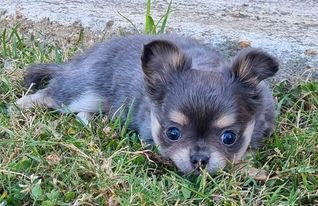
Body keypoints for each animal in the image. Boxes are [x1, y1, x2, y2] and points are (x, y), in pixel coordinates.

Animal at [17, 34, 278, 173]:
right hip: (81, 90)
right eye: (173, 133)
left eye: (229, 138)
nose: (199, 160)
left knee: (82, 113)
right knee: (49, 95)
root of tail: (76, 61)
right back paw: (22, 105)